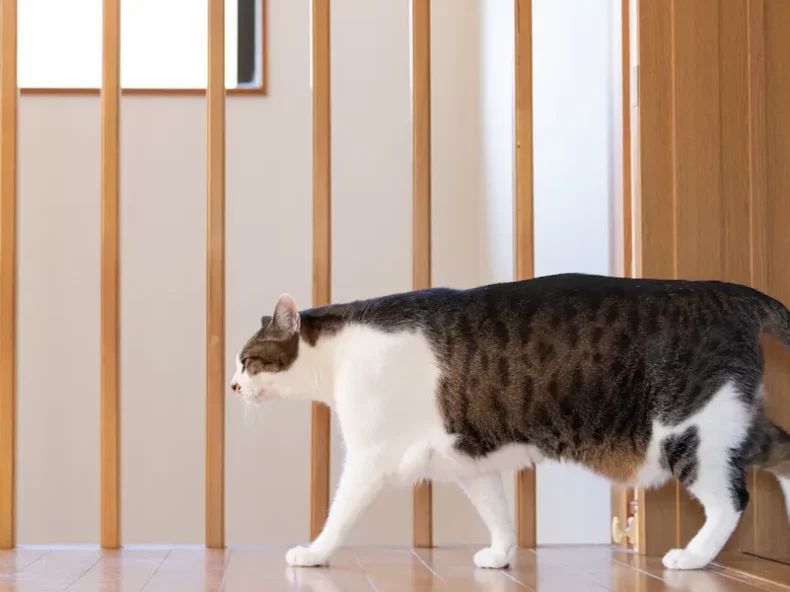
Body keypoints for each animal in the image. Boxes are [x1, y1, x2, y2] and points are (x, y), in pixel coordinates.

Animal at [230, 272, 790, 568]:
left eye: (247, 360)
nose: (232, 387)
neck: (337, 353)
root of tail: (728, 294)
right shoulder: (468, 459)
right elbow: (497, 511)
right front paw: (500, 556)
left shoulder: (371, 456)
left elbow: (340, 511)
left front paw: (313, 553)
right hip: (730, 421)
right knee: (783, 451)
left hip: (687, 432)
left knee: (731, 500)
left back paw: (690, 557)